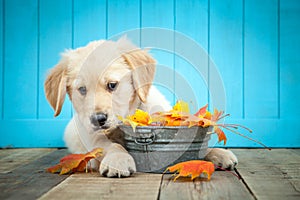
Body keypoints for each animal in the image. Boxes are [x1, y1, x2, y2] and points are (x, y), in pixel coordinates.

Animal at [44, 37, 238, 177]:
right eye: (82, 90)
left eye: (112, 85)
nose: (98, 119)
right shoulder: (90, 134)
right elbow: (107, 144)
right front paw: (118, 159)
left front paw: (217, 152)